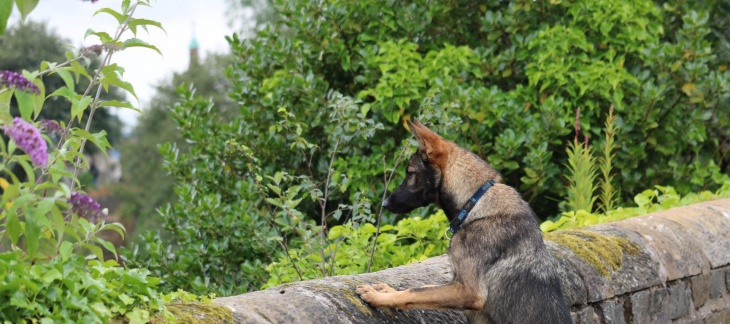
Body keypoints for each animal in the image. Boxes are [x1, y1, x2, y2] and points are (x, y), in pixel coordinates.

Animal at [356, 120, 572, 322]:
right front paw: (387, 290)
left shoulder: (468, 291)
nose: (384, 204)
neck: (474, 203)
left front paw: (377, 297)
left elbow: (414, 291)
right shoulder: (456, 282)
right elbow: (425, 286)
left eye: (410, 173)